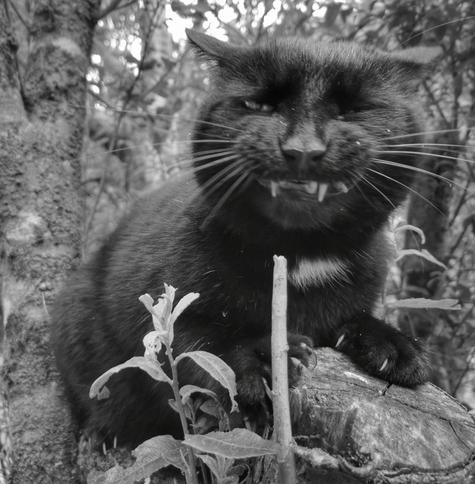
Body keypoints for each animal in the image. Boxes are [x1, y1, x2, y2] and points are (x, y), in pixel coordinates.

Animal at [51, 30, 436, 446]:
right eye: (257, 104)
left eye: (355, 108)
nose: (303, 147)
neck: (299, 257)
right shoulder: (151, 302)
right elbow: (194, 344)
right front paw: (264, 358)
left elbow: (355, 318)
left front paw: (392, 343)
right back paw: (102, 433)